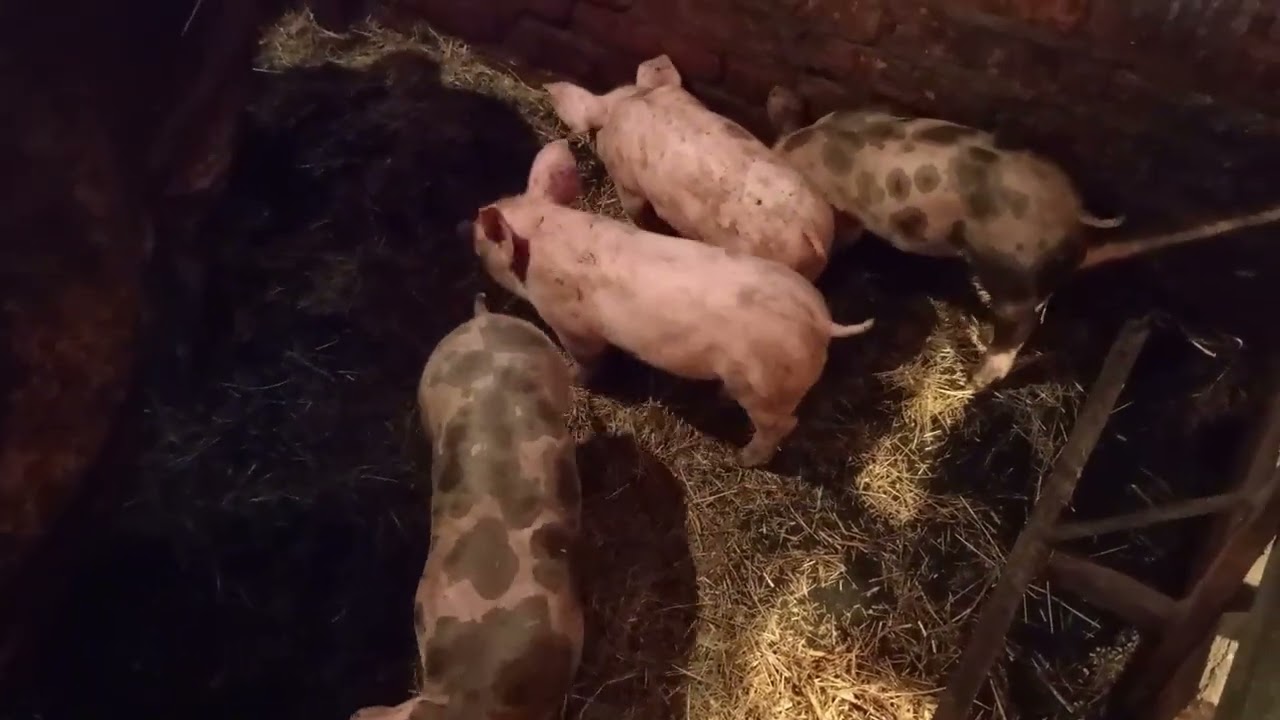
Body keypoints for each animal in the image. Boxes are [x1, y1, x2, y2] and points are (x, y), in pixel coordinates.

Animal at [468, 139, 875, 468]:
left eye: (481, 244)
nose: (466, 227)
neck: (543, 243)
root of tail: (821, 321)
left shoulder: (571, 324)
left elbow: (587, 359)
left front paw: (573, 377)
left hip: (766, 387)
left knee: (783, 424)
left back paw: (743, 458)